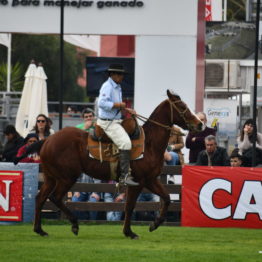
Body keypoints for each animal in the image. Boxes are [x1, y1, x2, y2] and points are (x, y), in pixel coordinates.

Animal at [34, 90, 203, 239]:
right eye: (181, 106)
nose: (200, 124)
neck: (149, 143)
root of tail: (47, 140)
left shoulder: (151, 180)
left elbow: (167, 198)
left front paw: (154, 224)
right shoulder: (138, 182)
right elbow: (130, 206)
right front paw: (129, 232)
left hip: (51, 178)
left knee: (40, 198)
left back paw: (40, 230)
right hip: (67, 178)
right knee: (55, 197)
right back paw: (74, 224)